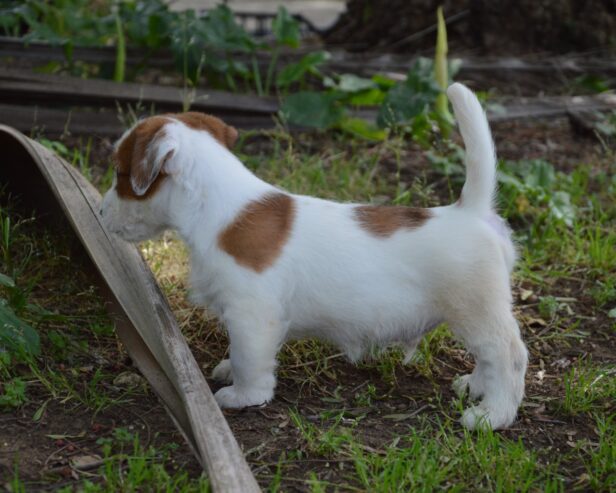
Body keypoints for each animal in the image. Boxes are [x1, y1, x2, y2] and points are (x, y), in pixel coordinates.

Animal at [102, 85, 528, 430]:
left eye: (120, 174)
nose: (103, 213)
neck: (221, 207)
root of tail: (470, 211)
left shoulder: (251, 314)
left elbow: (248, 358)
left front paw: (244, 395)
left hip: (476, 312)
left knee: (509, 355)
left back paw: (492, 415)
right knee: (489, 358)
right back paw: (475, 386)